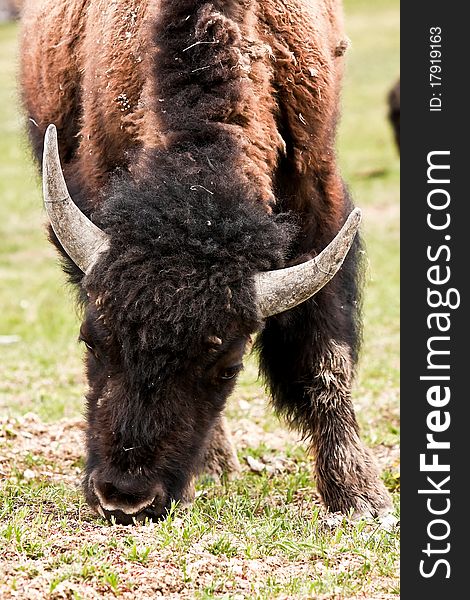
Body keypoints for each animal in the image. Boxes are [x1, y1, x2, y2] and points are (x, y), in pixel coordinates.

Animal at [19, 0, 392, 524]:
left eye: (227, 366)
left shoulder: (318, 204)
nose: (126, 498)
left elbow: (323, 358)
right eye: (90, 340)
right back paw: (214, 466)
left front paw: (360, 497)